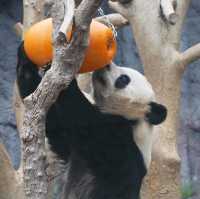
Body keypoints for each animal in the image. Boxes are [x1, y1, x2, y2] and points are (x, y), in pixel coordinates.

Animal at [16, 43, 167, 199]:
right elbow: (54, 127)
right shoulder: (72, 148)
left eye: (124, 79)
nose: (106, 64)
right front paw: (25, 54)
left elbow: (82, 119)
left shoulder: (119, 145)